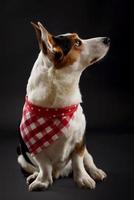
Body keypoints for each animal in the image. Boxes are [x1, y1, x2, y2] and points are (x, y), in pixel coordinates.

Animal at [17, 21, 110, 191]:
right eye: (77, 43)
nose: (107, 39)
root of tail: (60, 173)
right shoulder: (36, 149)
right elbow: (44, 166)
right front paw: (42, 181)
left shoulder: (80, 141)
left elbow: (78, 162)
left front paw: (83, 179)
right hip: (21, 157)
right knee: (37, 168)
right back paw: (35, 175)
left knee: (88, 159)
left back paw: (96, 172)